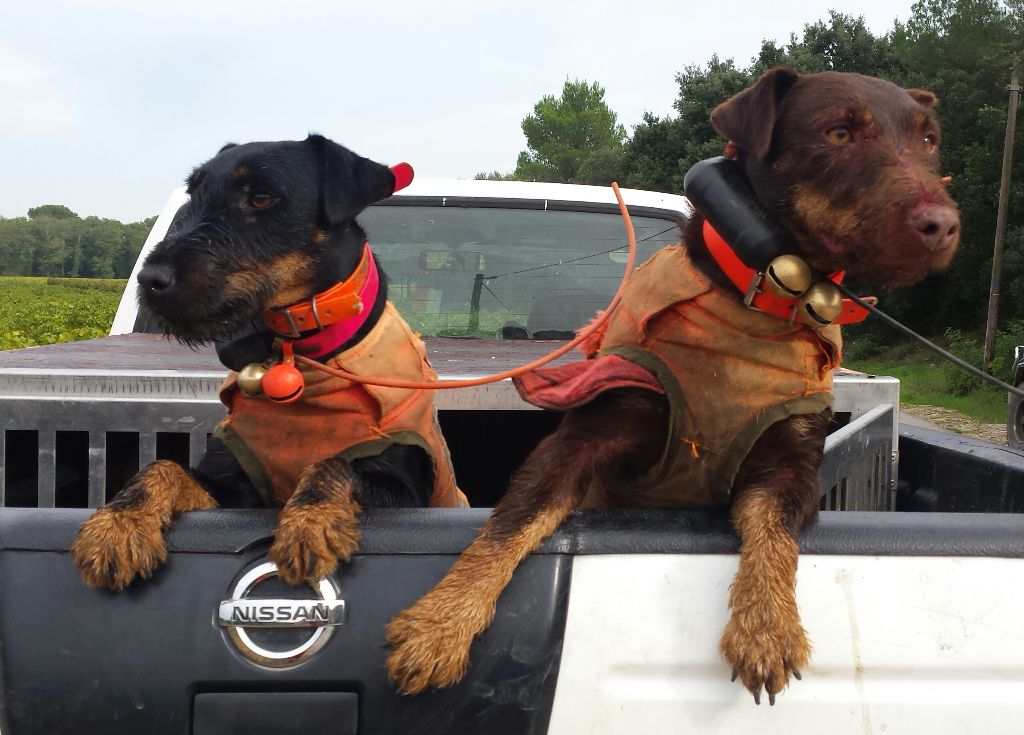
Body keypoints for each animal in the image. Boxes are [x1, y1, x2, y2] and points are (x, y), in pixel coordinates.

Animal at [74, 134, 466, 593]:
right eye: (194, 194)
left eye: (261, 197)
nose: (150, 279)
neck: (300, 357)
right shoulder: (230, 488)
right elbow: (162, 467)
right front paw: (118, 524)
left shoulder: (403, 492)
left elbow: (333, 464)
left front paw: (309, 522)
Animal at [385, 70, 958, 708]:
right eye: (838, 133)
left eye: (929, 140)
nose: (942, 224)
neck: (755, 304)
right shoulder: (582, 439)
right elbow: (511, 520)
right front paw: (442, 620)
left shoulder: (792, 465)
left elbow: (774, 533)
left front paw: (767, 625)